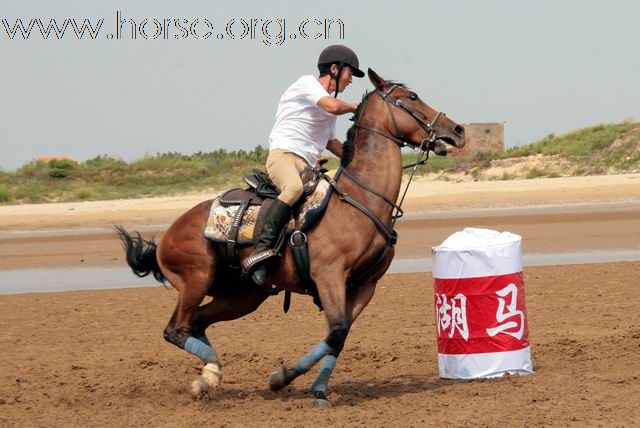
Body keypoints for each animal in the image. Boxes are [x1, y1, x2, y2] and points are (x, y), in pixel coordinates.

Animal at [116, 67, 464, 408]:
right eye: (412, 97)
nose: (457, 130)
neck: (359, 200)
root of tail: (167, 235)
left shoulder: (365, 286)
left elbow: (339, 337)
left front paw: (319, 391)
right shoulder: (329, 276)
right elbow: (335, 332)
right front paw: (280, 379)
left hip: (243, 296)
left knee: (196, 323)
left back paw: (208, 376)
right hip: (196, 280)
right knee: (175, 329)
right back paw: (210, 373)